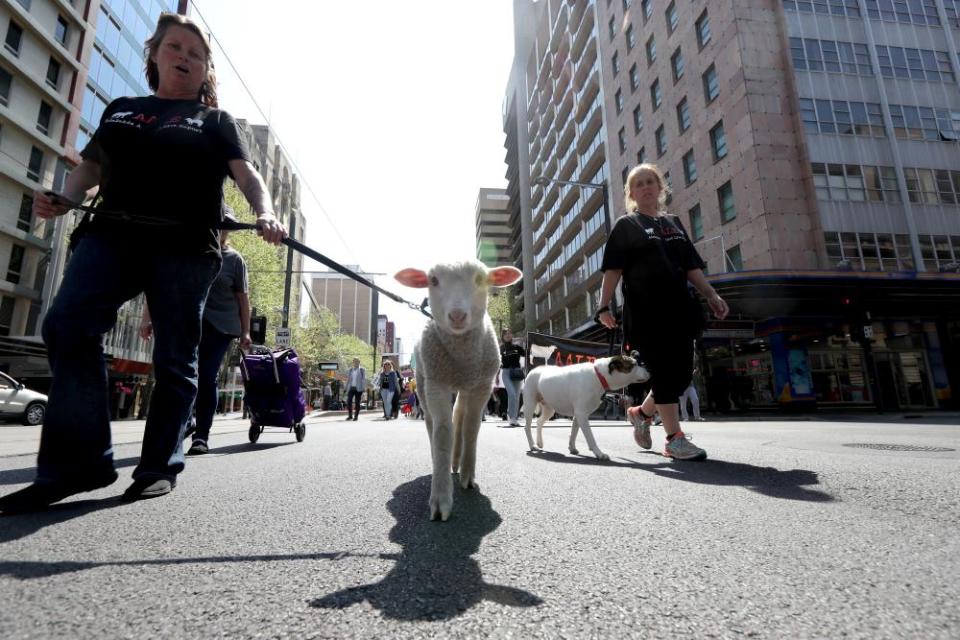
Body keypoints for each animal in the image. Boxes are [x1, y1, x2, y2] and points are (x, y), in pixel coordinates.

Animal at [394, 260, 520, 520]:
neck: (462, 356)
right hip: (424, 381)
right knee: (432, 422)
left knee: (460, 415)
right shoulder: (437, 384)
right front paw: (441, 498)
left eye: (481, 279)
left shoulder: (482, 385)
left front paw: (467, 475)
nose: (457, 315)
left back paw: (457, 462)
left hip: (466, 385)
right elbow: (442, 431)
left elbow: (471, 427)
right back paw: (442, 460)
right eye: (433, 280)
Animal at [524, 356, 652, 460]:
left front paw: (572, 447)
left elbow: (574, 432)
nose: (649, 370)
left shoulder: (578, 415)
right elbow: (590, 437)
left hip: (549, 408)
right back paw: (532, 445)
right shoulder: (581, 414)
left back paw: (539, 442)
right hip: (530, 404)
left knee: (539, 421)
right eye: (634, 365)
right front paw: (599, 453)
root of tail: (535, 369)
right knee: (527, 426)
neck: (599, 376)